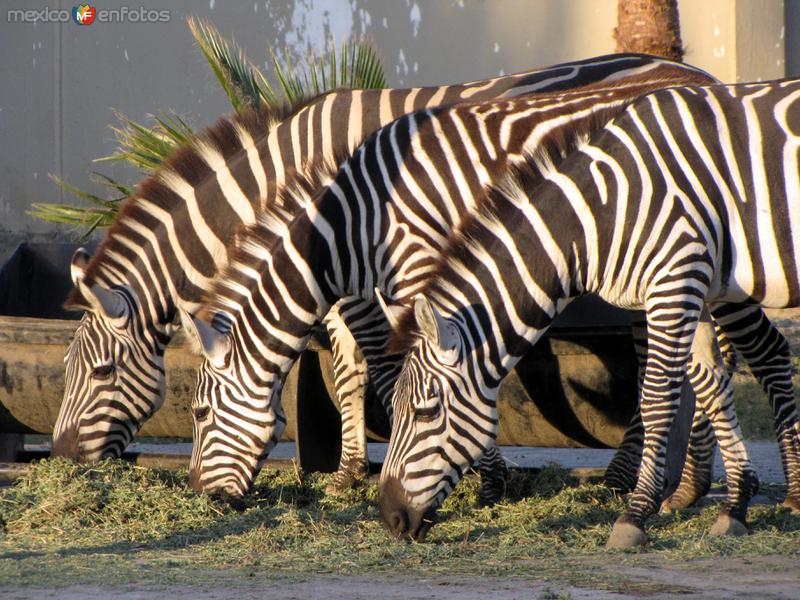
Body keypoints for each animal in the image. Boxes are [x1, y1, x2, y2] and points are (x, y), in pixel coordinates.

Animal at [53, 52, 688, 496]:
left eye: (101, 371)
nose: (62, 456)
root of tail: (689, 68)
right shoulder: (337, 278)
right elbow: (349, 370)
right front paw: (349, 473)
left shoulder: (358, 275)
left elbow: (382, 365)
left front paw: (459, 472)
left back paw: (629, 478)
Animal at [378, 78, 800, 548]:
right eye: (394, 410)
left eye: (425, 412)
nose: (389, 517)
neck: (601, 213)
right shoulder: (697, 286)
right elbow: (713, 389)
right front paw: (736, 506)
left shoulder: (676, 276)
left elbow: (656, 399)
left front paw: (635, 514)